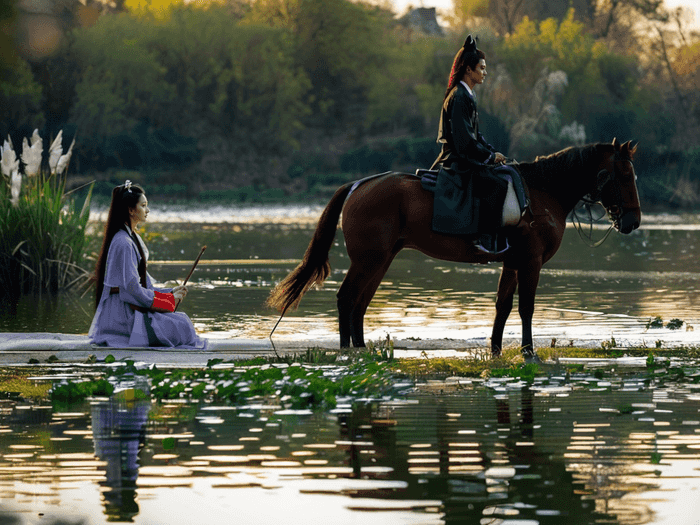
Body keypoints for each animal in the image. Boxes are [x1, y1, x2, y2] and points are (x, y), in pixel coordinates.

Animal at [268, 138, 640, 360]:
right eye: (624, 175)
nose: (634, 221)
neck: (543, 191)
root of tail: (360, 184)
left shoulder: (512, 263)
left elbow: (503, 307)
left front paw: (495, 349)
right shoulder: (530, 262)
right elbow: (526, 309)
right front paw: (528, 351)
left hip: (380, 260)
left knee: (358, 304)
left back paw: (360, 348)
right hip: (369, 260)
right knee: (347, 299)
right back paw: (350, 352)